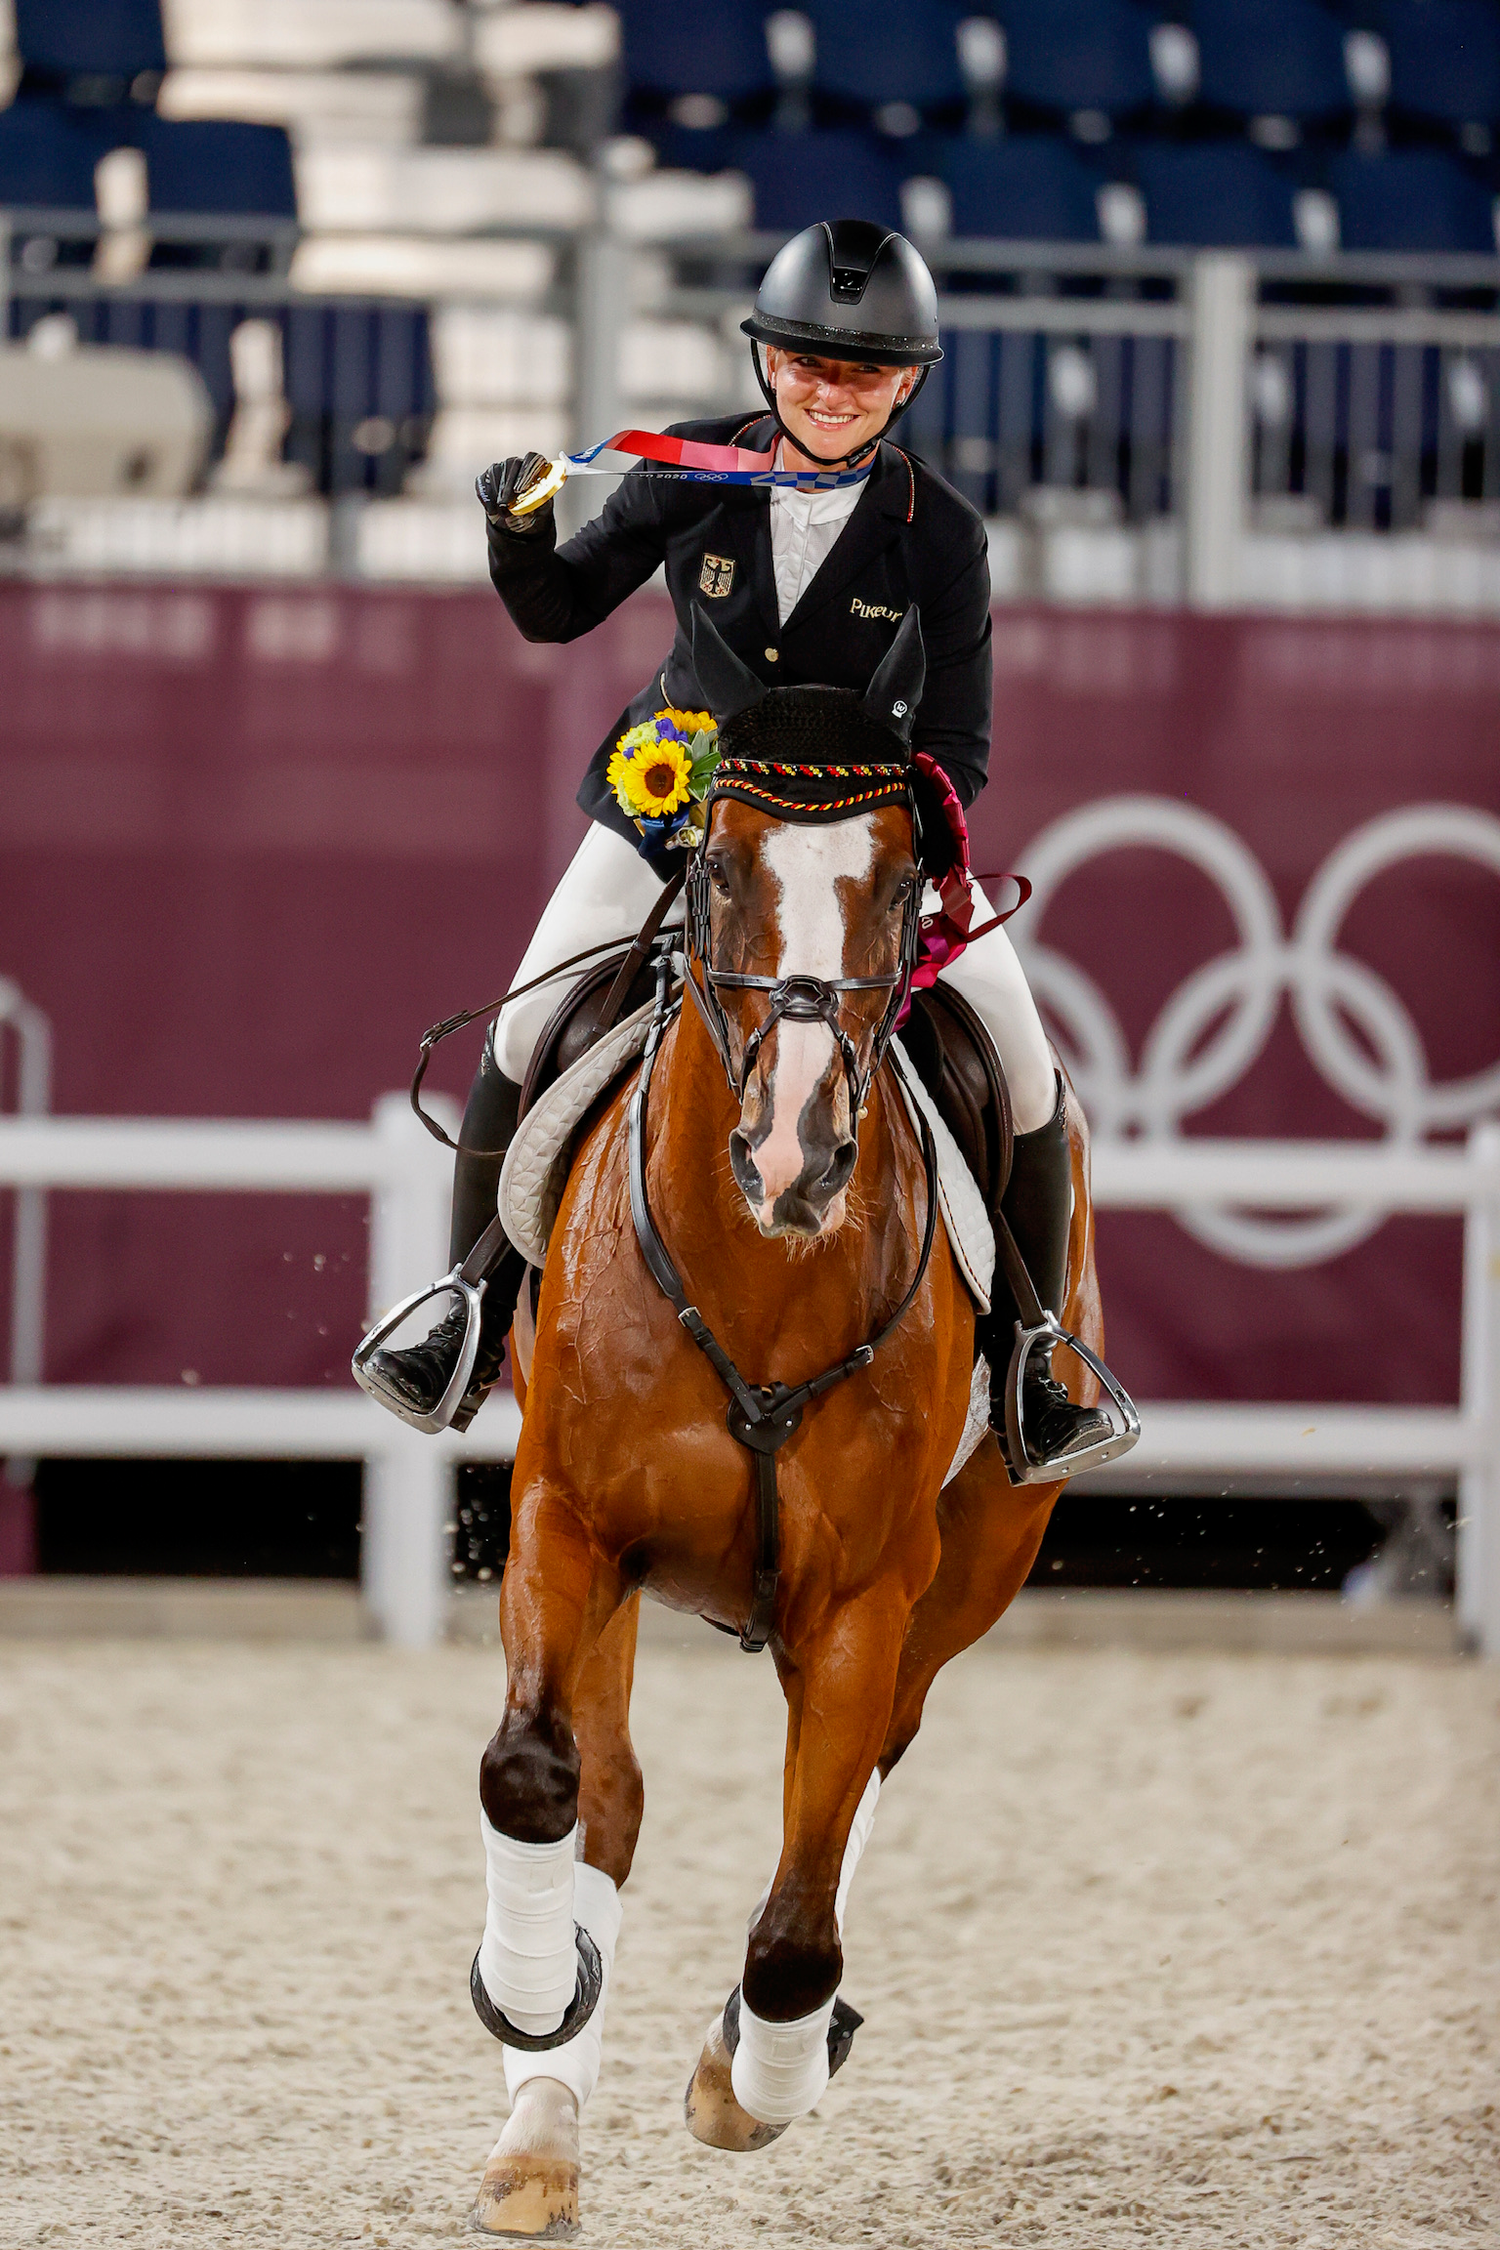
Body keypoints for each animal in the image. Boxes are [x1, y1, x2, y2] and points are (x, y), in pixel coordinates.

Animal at [463, 621, 1110, 2232]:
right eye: (713, 868)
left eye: (900, 879)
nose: (791, 1153)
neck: (759, 1270)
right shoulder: (568, 1522)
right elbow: (538, 1778)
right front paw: (530, 1992)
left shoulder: (867, 1597)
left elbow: (801, 1924)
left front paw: (747, 2082)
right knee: (608, 1798)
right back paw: (540, 2132)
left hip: (977, 1561)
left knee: (870, 1767)